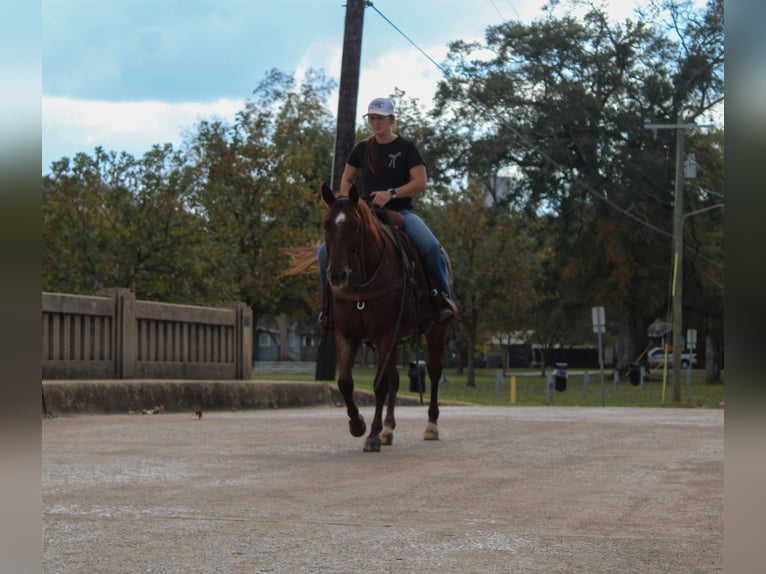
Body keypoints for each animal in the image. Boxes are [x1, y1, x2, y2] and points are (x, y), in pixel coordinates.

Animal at [320, 181, 454, 452]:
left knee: (434, 371)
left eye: (355, 225)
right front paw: (358, 424)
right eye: (326, 224)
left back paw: (431, 425)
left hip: (436, 328)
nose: (337, 275)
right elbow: (345, 382)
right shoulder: (346, 334)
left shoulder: (385, 334)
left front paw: (372, 433)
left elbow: (379, 384)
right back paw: (389, 428)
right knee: (394, 377)